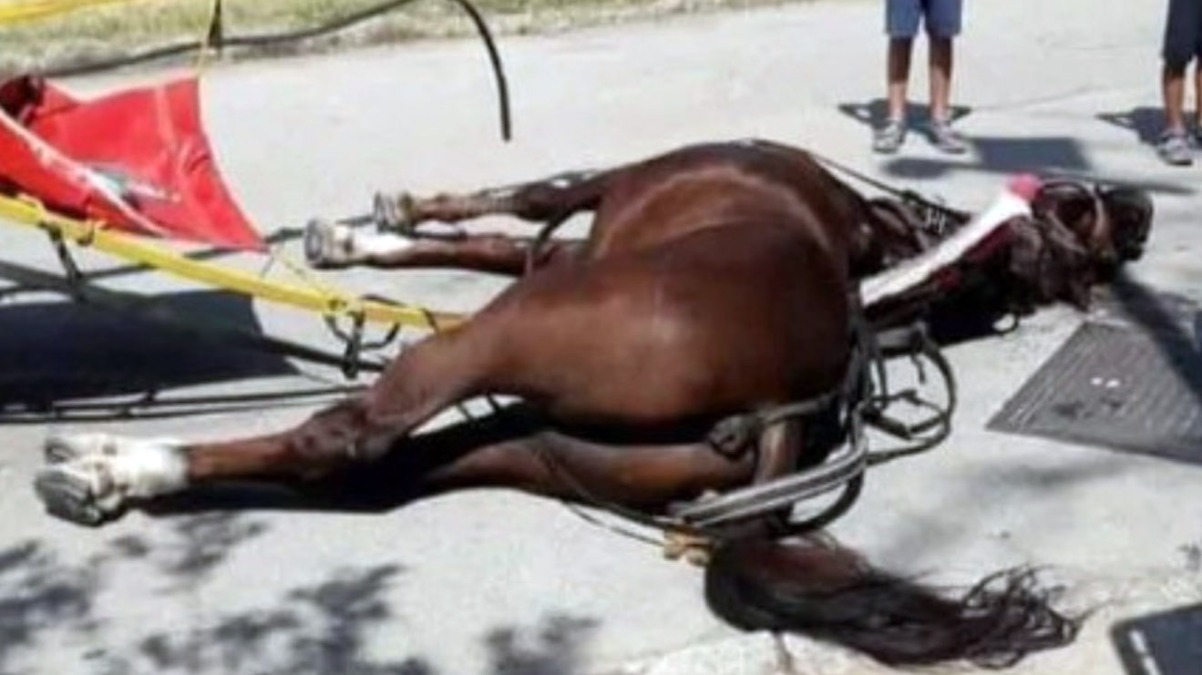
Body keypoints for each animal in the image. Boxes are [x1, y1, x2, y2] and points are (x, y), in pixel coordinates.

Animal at [33, 139, 1151, 668]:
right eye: (1086, 210)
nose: (1142, 206)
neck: (880, 252)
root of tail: (780, 407)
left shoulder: (594, 203)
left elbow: (521, 202)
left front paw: (372, 228)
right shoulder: (577, 243)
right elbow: (488, 238)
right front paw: (360, 240)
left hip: (503, 335)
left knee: (348, 436)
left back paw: (116, 467)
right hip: (537, 443)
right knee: (385, 475)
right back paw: (123, 475)